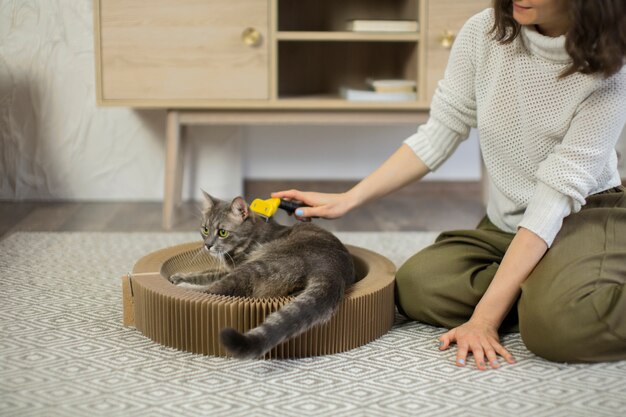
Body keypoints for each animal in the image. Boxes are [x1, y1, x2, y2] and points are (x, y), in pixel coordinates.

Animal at [169, 192, 356, 358]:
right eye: (205, 229)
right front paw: (179, 276)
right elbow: (204, 272)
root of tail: (332, 268)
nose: (207, 245)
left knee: (216, 290)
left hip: (257, 265)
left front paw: (182, 280)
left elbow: (207, 277)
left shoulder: (234, 267)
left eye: (222, 232)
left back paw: (185, 288)